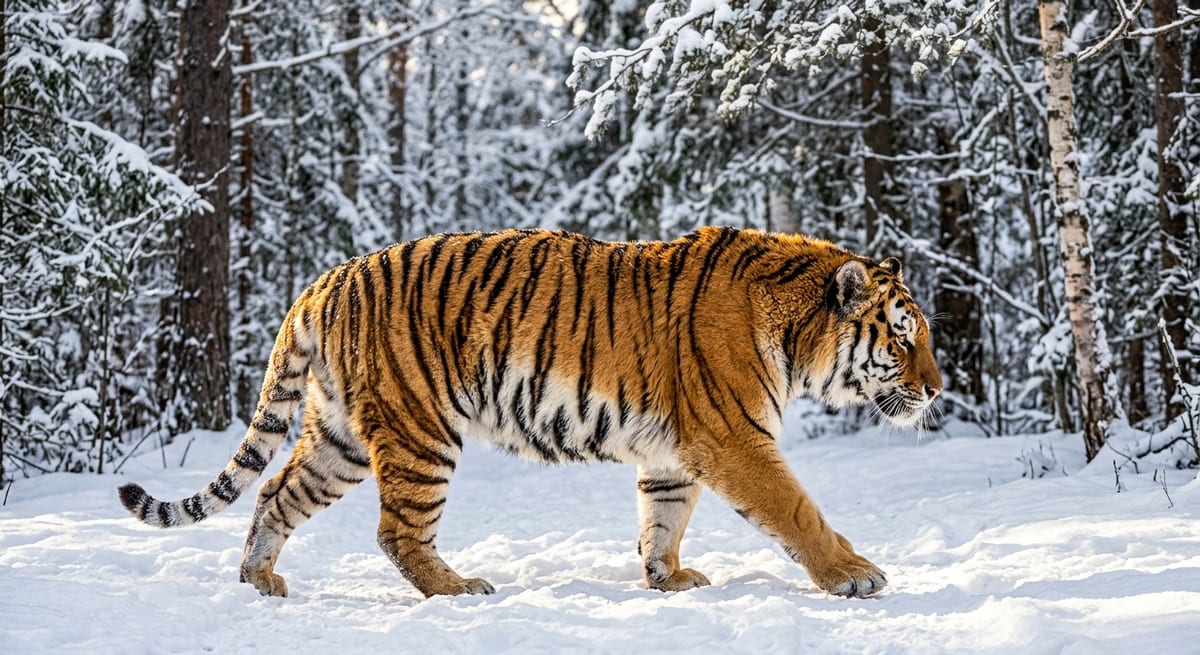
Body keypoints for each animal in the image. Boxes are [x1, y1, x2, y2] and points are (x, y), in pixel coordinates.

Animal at [119, 226, 942, 600]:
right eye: (905, 338)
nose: (937, 389)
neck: (796, 335)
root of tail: (324, 280)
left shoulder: (675, 451)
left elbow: (663, 518)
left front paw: (667, 579)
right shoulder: (735, 437)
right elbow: (799, 511)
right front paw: (855, 574)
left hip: (340, 438)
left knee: (272, 493)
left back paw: (259, 580)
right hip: (421, 431)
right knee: (396, 530)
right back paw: (457, 589)